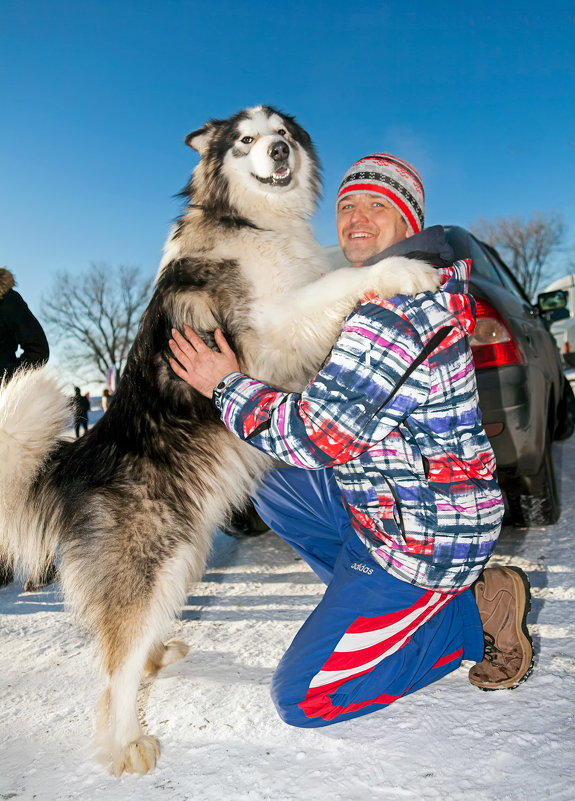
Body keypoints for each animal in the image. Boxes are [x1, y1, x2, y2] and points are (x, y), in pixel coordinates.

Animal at [0, 103, 438, 772]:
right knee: (113, 664)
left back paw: (156, 659)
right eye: (246, 140)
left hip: (184, 560)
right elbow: (330, 288)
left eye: (282, 133)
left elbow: (330, 274)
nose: (279, 153)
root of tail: (80, 456)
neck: (254, 222)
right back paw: (125, 745)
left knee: (128, 646)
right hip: (150, 561)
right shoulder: (267, 331)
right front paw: (402, 268)